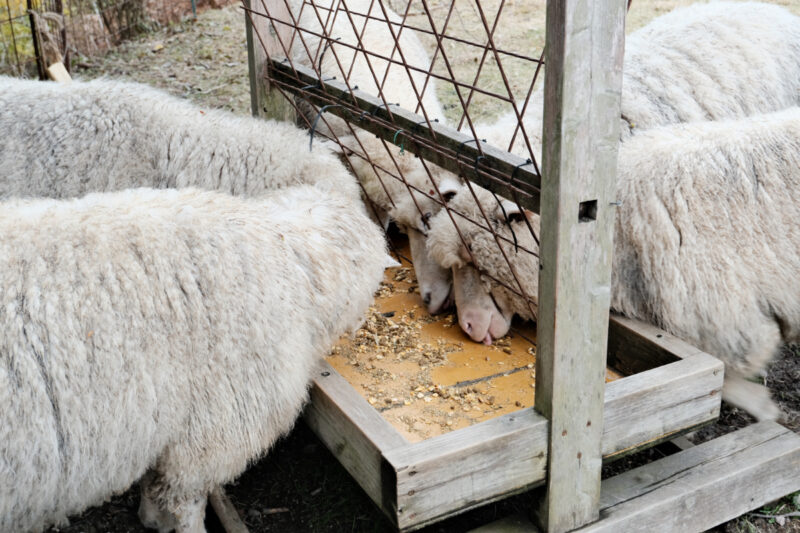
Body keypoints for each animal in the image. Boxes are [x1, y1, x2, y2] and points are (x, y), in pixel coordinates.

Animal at [428, 107, 800, 420]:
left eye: (477, 261)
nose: (468, 327)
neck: (615, 227)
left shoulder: (731, 323)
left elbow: (728, 374)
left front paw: (763, 407)